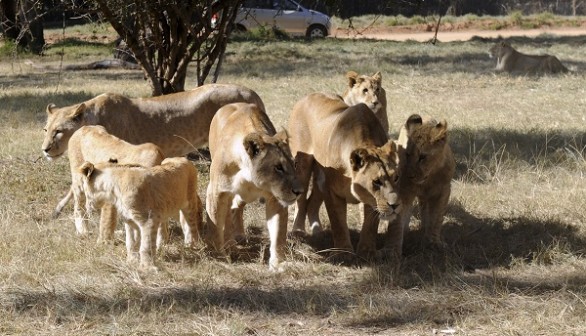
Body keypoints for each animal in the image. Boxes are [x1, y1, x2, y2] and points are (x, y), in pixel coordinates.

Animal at [205, 101, 302, 270]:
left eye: (294, 164)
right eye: (278, 167)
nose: (299, 191)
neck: (249, 177)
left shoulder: (275, 199)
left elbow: (278, 233)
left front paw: (278, 264)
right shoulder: (216, 192)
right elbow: (216, 226)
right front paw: (219, 258)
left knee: (236, 208)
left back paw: (238, 237)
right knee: (228, 215)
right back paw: (231, 244)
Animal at [286, 93, 402, 262]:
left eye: (396, 178)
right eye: (376, 182)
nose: (396, 205)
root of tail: (307, 96)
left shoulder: (370, 198)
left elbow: (370, 225)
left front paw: (367, 252)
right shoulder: (331, 191)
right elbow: (338, 223)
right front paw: (343, 253)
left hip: (320, 177)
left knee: (312, 203)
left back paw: (318, 232)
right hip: (303, 165)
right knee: (301, 201)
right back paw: (298, 231)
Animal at [388, 114, 456, 251]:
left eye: (422, 157)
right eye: (408, 154)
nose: (410, 175)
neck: (428, 178)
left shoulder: (444, 191)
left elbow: (436, 218)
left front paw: (434, 242)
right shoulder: (404, 190)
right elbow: (398, 220)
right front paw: (394, 248)